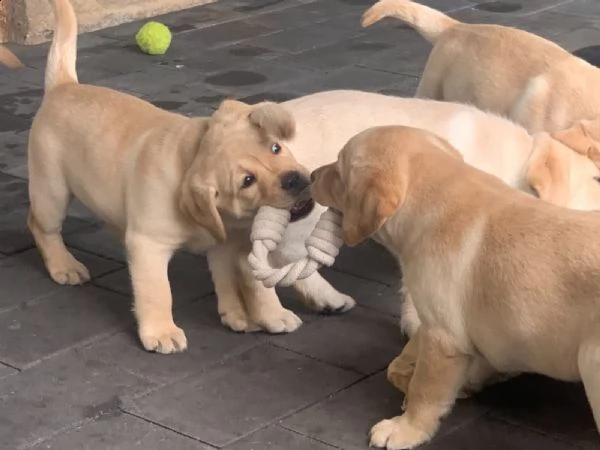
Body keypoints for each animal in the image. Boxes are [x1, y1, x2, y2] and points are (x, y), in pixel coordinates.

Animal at [312, 125, 600, 450]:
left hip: (592, 362)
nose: (310, 175)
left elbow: (424, 389)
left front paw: (405, 428)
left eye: (338, 170)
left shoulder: (443, 335)